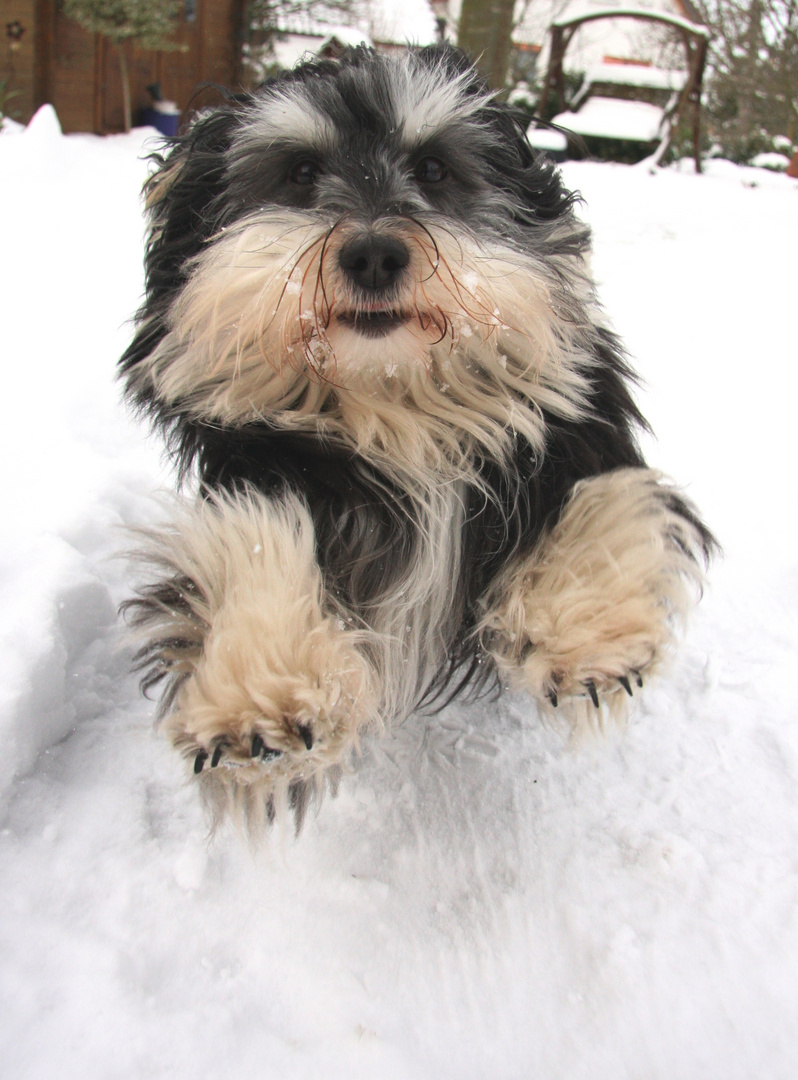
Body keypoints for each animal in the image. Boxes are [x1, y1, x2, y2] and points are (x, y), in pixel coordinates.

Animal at [120, 44, 717, 825]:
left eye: (433, 168)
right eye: (300, 172)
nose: (373, 254)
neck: (396, 406)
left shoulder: (577, 436)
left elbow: (601, 502)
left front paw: (590, 629)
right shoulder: (260, 469)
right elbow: (251, 540)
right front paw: (261, 685)